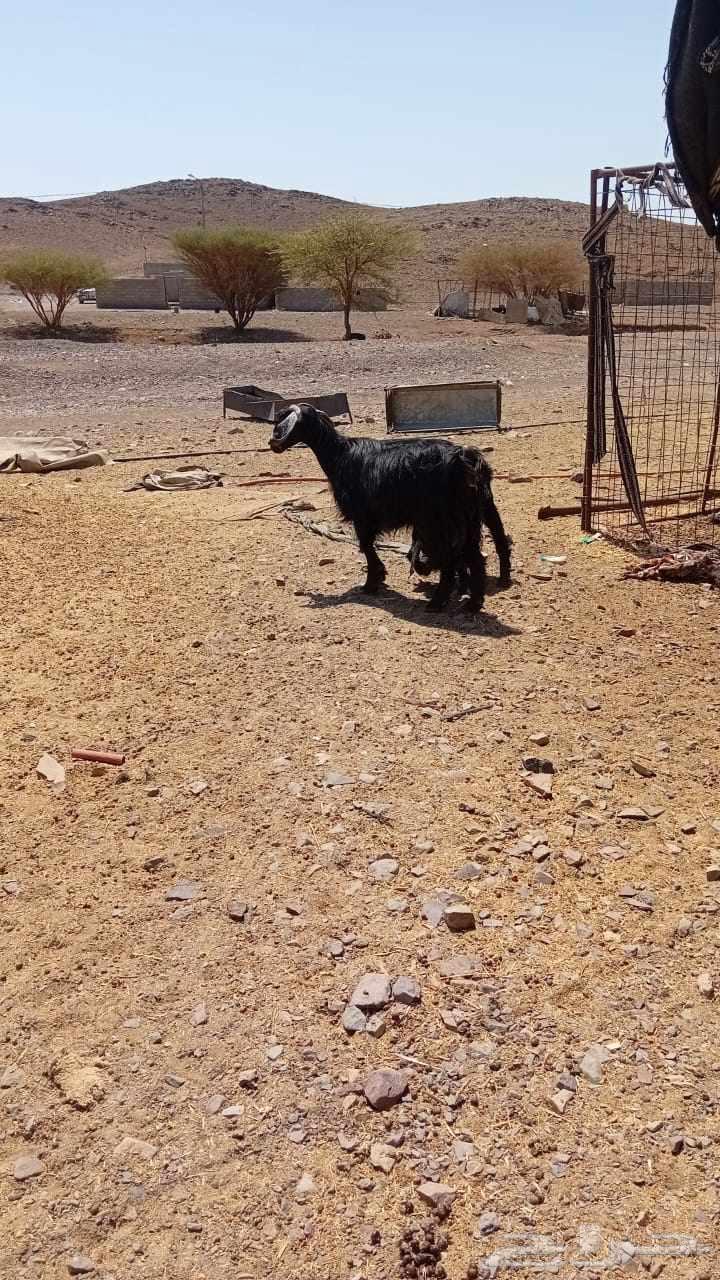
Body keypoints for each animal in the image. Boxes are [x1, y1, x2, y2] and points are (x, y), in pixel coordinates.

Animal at [269, 404, 511, 611]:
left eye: (289, 423)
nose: (273, 443)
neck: (340, 456)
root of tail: (466, 459)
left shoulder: (363, 517)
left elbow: (366, 546)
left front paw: (372, 583)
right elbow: (368, 547)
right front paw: (378, 577)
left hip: (443, 520)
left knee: (454, 558)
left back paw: (441, 602)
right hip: (470, 516)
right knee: (479, 552)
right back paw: (476, 600)